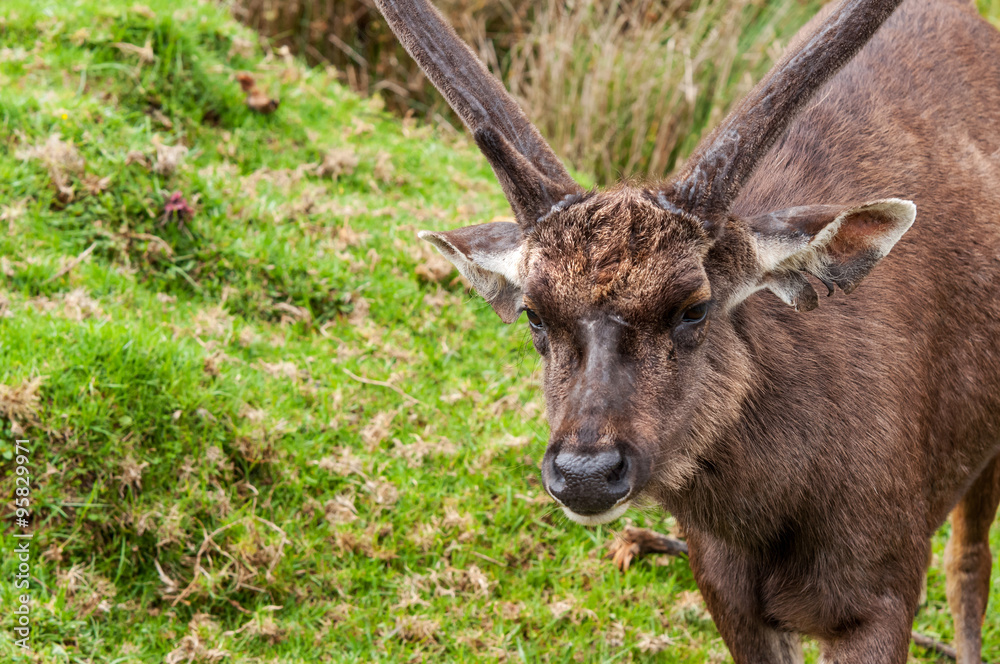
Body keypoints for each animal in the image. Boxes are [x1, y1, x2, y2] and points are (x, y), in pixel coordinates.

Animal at [372, 0, 1000, 660]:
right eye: (534, 313)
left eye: (694, 307)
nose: (586, 473)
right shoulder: (723, 589)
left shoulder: (884, 585)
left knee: (969, 563)